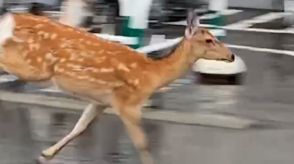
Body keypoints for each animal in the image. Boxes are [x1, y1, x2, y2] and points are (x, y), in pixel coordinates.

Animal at [0, 9, 234, 164]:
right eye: (208, 40)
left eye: (214, 37)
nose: (231, 55)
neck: (153, 75)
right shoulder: (128, 103)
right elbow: (142, 143)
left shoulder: (101, 101)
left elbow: (80, 127)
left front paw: (46, 154)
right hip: (35, 66)